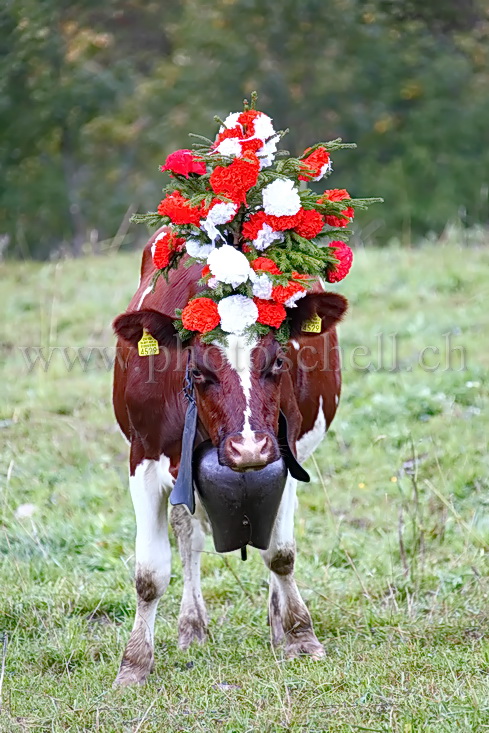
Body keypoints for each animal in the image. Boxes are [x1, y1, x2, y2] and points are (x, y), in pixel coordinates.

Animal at [112, 226, 346, 684]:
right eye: (198, 371)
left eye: (278, 361)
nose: (248, 446)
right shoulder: (142, 460)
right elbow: (150, 574)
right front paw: (134, 664)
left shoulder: (285, 456)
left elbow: (280, 555)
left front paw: (299, 636)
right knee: (187, 535)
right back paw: (192, 627)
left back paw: (276, 623)